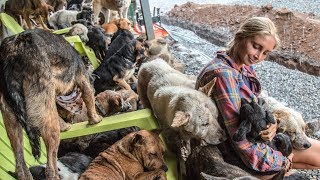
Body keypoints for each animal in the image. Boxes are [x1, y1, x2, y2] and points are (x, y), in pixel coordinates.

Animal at [0, 28, 102, 179]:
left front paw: (65, 126)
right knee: (50, 168)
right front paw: (95, 119)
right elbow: (89, 98)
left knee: (21, 168)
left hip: (12, 124)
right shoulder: (83, 79)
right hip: (50, 128)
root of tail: (13, 52)